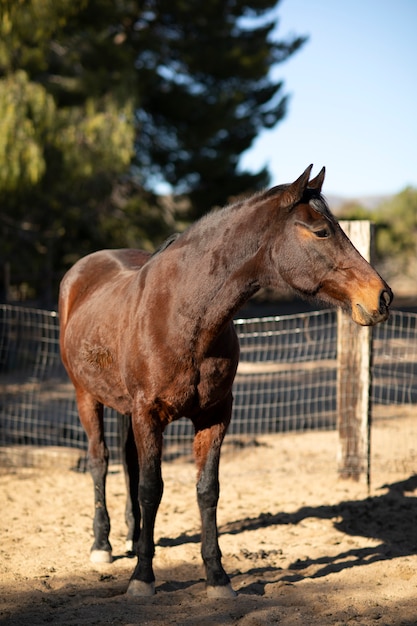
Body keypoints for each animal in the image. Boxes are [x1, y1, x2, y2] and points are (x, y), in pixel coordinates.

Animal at [59, 166, 394, 596]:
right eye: (321, 232)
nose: (381, 297)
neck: (184, 314)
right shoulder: (149, 414)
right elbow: (152, 489)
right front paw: (143, 577)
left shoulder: (214, 415)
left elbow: (207, 490)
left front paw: (217, 576)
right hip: (86, 396)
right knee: (100, 463)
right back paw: (102, 544)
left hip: (122, 406)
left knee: (128, 463)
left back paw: (133, 539)